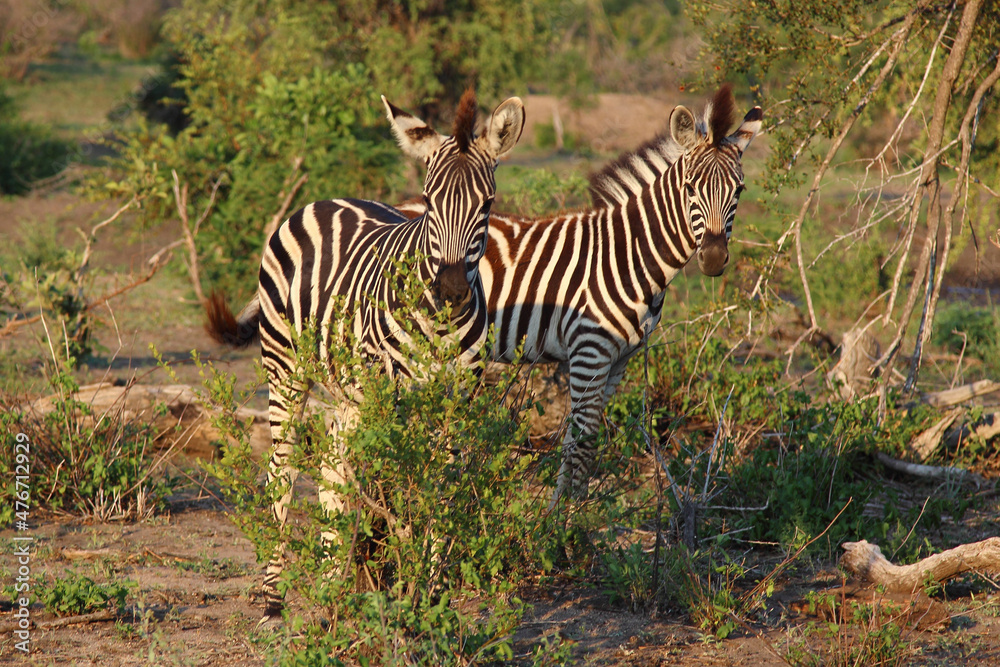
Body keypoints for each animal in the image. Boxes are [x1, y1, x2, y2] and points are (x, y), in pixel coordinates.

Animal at [205, 89, 525, 617]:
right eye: (430, 203)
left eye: (488, 204)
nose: (452, 290)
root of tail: (321, 200)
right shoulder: (388, 395)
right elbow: (389, 489)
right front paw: (390, 579)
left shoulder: (457, 403)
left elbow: (438, 490)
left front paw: (427, 593)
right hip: (287, 368)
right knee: (283, 469)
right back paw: (273, 597)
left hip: (349, 393)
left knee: (332, 465)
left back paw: (333, 582)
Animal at [399, 85, 763, 505]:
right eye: (690, 188)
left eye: (739, 191)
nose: (714, 257)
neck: (629, 254)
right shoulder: (590, 351)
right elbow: (583, 442)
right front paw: (563, 518)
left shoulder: (618, 360)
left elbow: (582, 443)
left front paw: (571, 510)